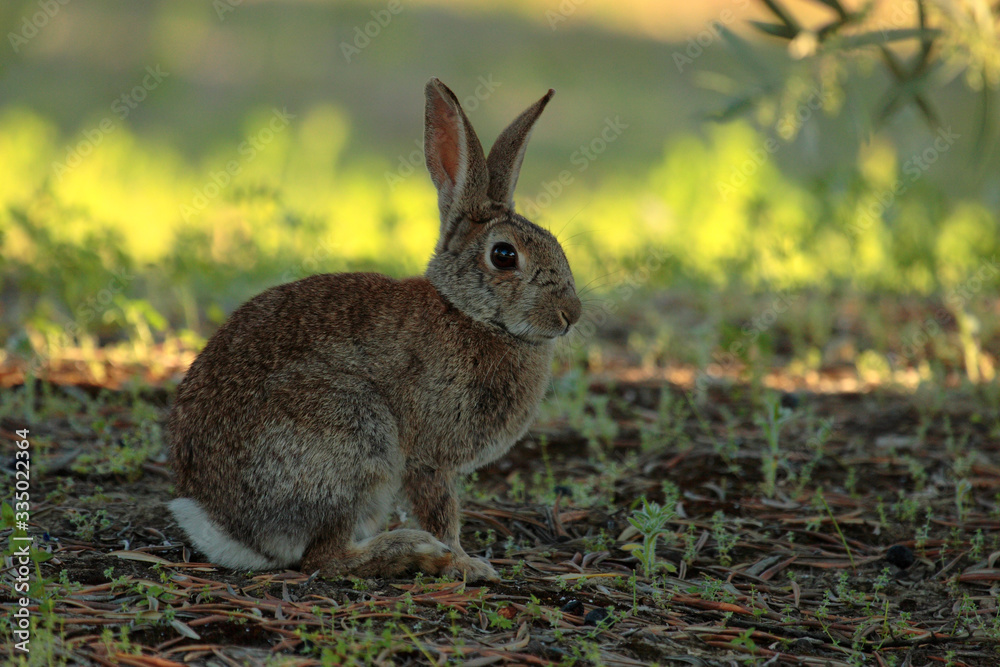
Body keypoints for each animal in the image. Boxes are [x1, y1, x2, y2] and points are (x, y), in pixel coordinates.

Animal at [167, 78, 582, 581]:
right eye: (504, 256)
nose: (571, 313)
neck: (469, 314)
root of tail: (231, 530)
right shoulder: (427, 458)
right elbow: (442, 514)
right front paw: (467, 565)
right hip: (355, 435)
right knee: (324, 558)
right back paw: (412, 551)